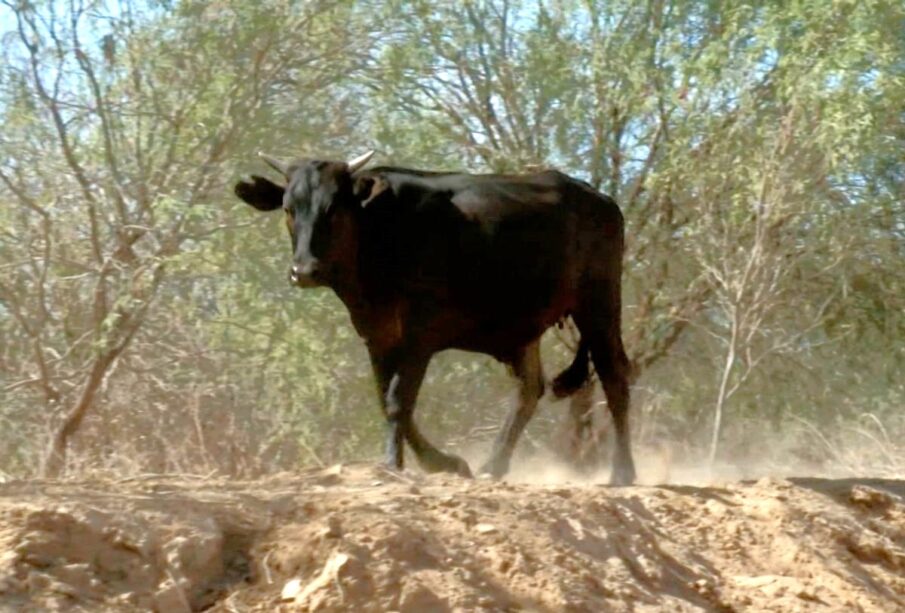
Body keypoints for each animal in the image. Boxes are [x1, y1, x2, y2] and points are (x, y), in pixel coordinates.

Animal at [233, 149, 636, 482]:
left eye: (333, 208)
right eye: (289, 208)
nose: (304, 271)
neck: (381, 232)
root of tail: (599, 197)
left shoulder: (419, 336)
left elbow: (399, 401)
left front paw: (394, 463)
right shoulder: (377, 336)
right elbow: (388, 401)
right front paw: (445, 463)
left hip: (598, 305)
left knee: (614, 375)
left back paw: (622, 472)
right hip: (525, 327)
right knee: (529, 389)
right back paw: (494, 465)